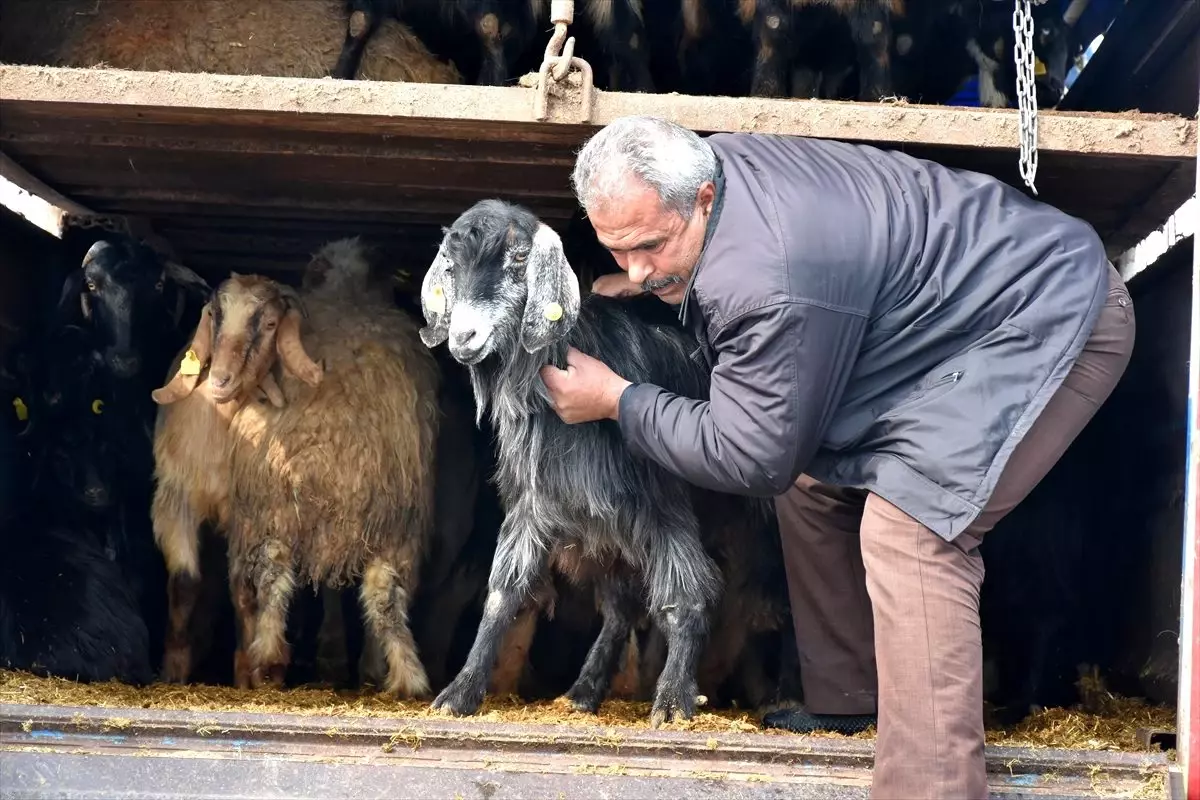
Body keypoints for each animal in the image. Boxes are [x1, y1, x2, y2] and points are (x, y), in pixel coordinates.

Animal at [216, 237, 441, 695]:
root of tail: (328, 444)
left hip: (280, 508)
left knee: (278, 568)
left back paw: (272, 657)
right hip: (390, 515)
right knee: (381, 587)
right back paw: (403, 674)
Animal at [422, 199, 768, 724]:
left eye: (519, 258)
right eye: (451, 266)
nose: (464, 337)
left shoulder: (662, 510)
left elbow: (685, 596)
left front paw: (673, 700)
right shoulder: (537, 503)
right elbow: (503, 593)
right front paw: (459, 692)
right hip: (605, 534)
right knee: (621, 609)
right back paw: (583, 690)